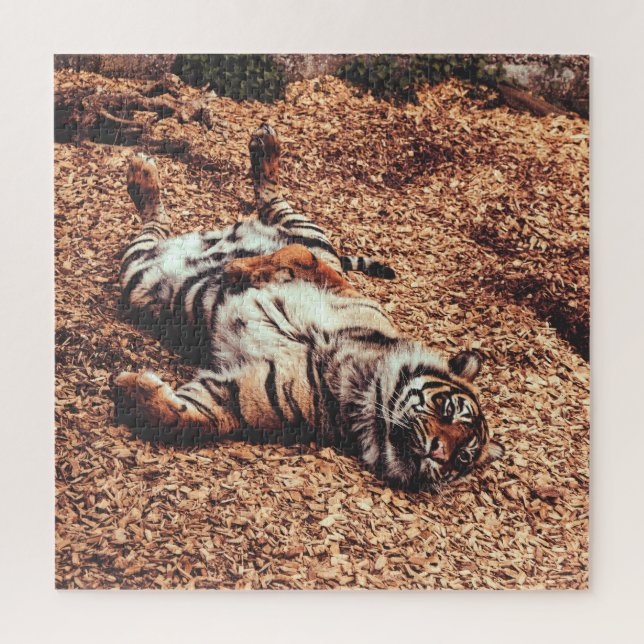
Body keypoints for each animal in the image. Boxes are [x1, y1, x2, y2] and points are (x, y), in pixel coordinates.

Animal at [114, 124, 504, 491]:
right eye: (449, 409)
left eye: (463, 457)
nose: (439, 454)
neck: (361, 384)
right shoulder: (342, 286)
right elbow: (299, 257)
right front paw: (238, 270)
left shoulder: (241, 395)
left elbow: (191, 417)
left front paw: (133, 390)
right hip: (304, 232)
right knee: (267, 203)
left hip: (139, 272)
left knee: (159, 226)